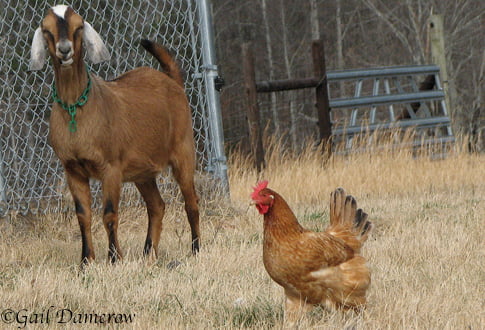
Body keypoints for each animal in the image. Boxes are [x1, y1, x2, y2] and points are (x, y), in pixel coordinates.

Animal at [29, 5, 199, 266]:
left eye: (78, 26)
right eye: (46, 29)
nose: (65, 50)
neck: (77, 109)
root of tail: (172, 81)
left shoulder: (110, 167)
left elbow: (109, 213)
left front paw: (113, 259)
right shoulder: (72, 169)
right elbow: (83, 215)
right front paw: (86, 261)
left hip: (183, 150)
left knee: (191, 202)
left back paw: (196, 249)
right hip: (143, 172)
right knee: (157, 205)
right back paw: (148, 253)